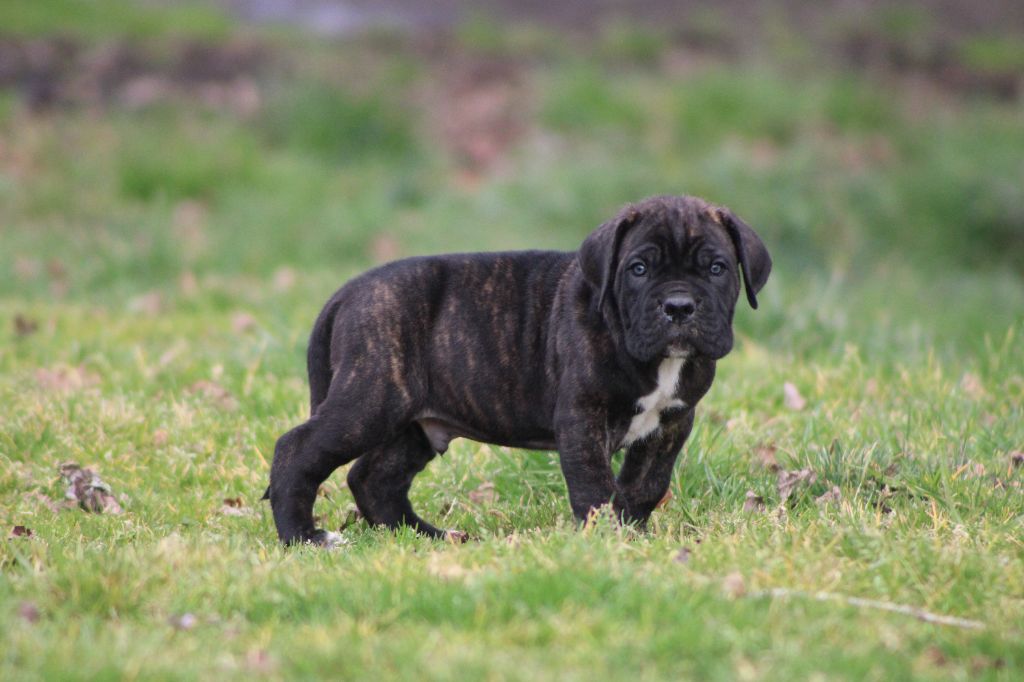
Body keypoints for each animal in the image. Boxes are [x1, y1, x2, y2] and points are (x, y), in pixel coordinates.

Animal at [266, 193, 770, 544]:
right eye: (639, 269)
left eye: (717, 268)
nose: (679, 306)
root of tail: (347, 292)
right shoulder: (583, 416)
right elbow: (593, 484)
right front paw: (608, 539)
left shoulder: (671, 422)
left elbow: (646, 483)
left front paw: (632, 532)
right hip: (371, 398)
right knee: (297, 450)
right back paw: (306, 539)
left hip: (413, 424)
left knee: (375, 479)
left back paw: (430, 538)